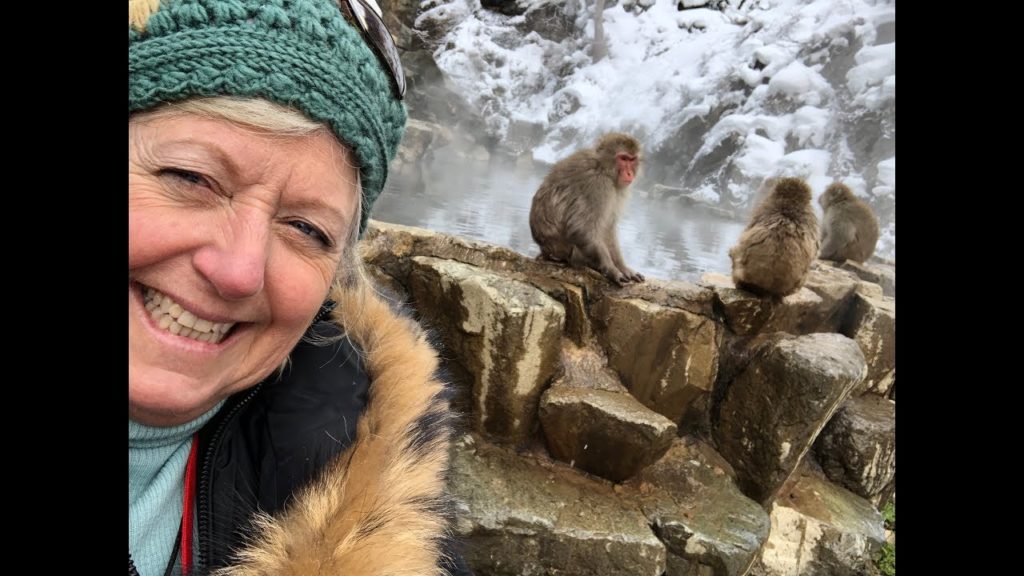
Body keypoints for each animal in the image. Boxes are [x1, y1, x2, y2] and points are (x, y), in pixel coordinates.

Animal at [529, 132, 645, 286]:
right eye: (623, 158)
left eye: (632, 159)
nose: (629, 173)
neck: (602, 167)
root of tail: (545, 250)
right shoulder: (597, 185)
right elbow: (582, 228)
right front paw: (611, 269)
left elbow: (607, 228)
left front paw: (623, 267)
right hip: (567, 252)